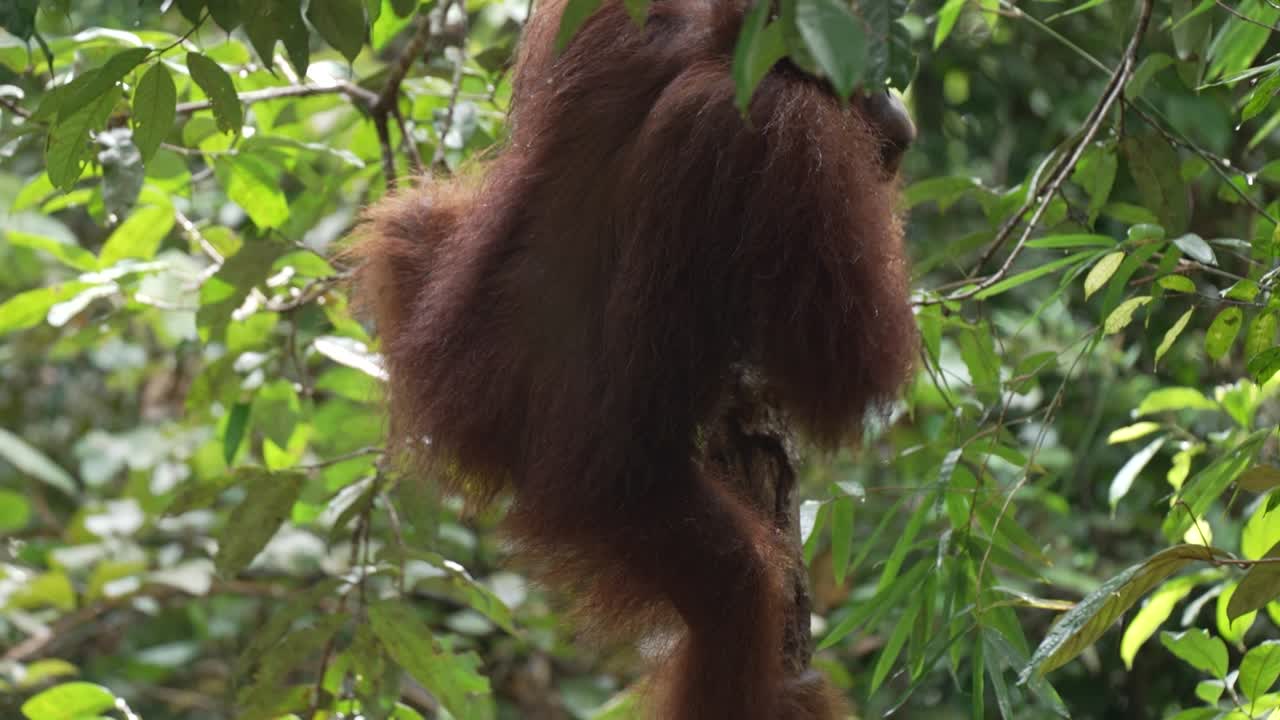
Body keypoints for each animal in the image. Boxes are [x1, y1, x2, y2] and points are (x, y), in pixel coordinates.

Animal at [346, 0, 917, 716]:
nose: (896, 112)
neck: (716, 52)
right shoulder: (791, 132)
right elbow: (846, 369)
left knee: (412, 220)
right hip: (613, 494)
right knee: (735, 589)